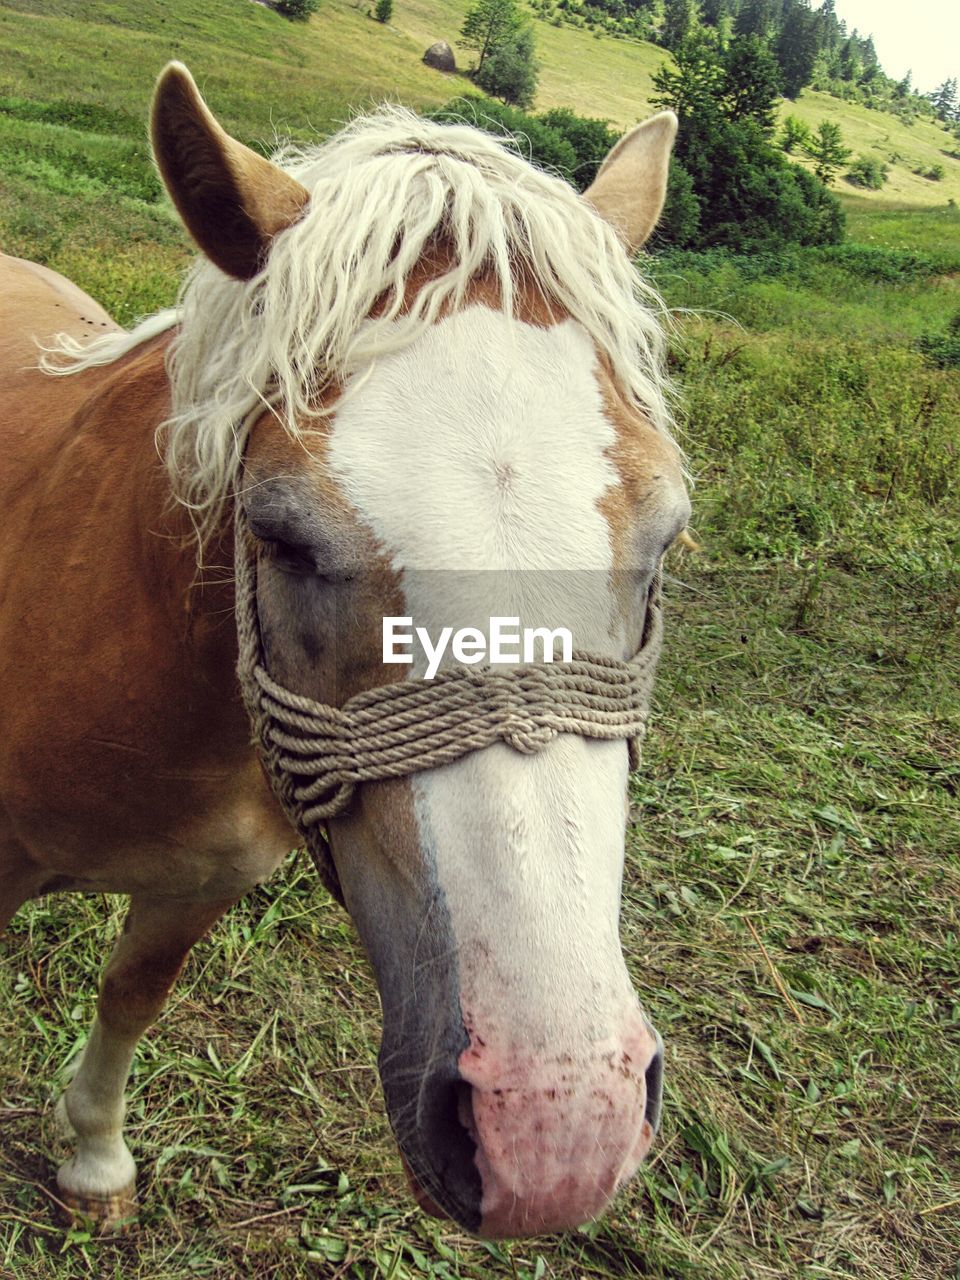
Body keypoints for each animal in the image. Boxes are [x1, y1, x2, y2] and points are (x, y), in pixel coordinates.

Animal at [0, 64, 691, 1233]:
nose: (552, 1129)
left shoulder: (196, 884)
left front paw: (94, 1155)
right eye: (281, 535)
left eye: (664, 539)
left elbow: (132, 992)